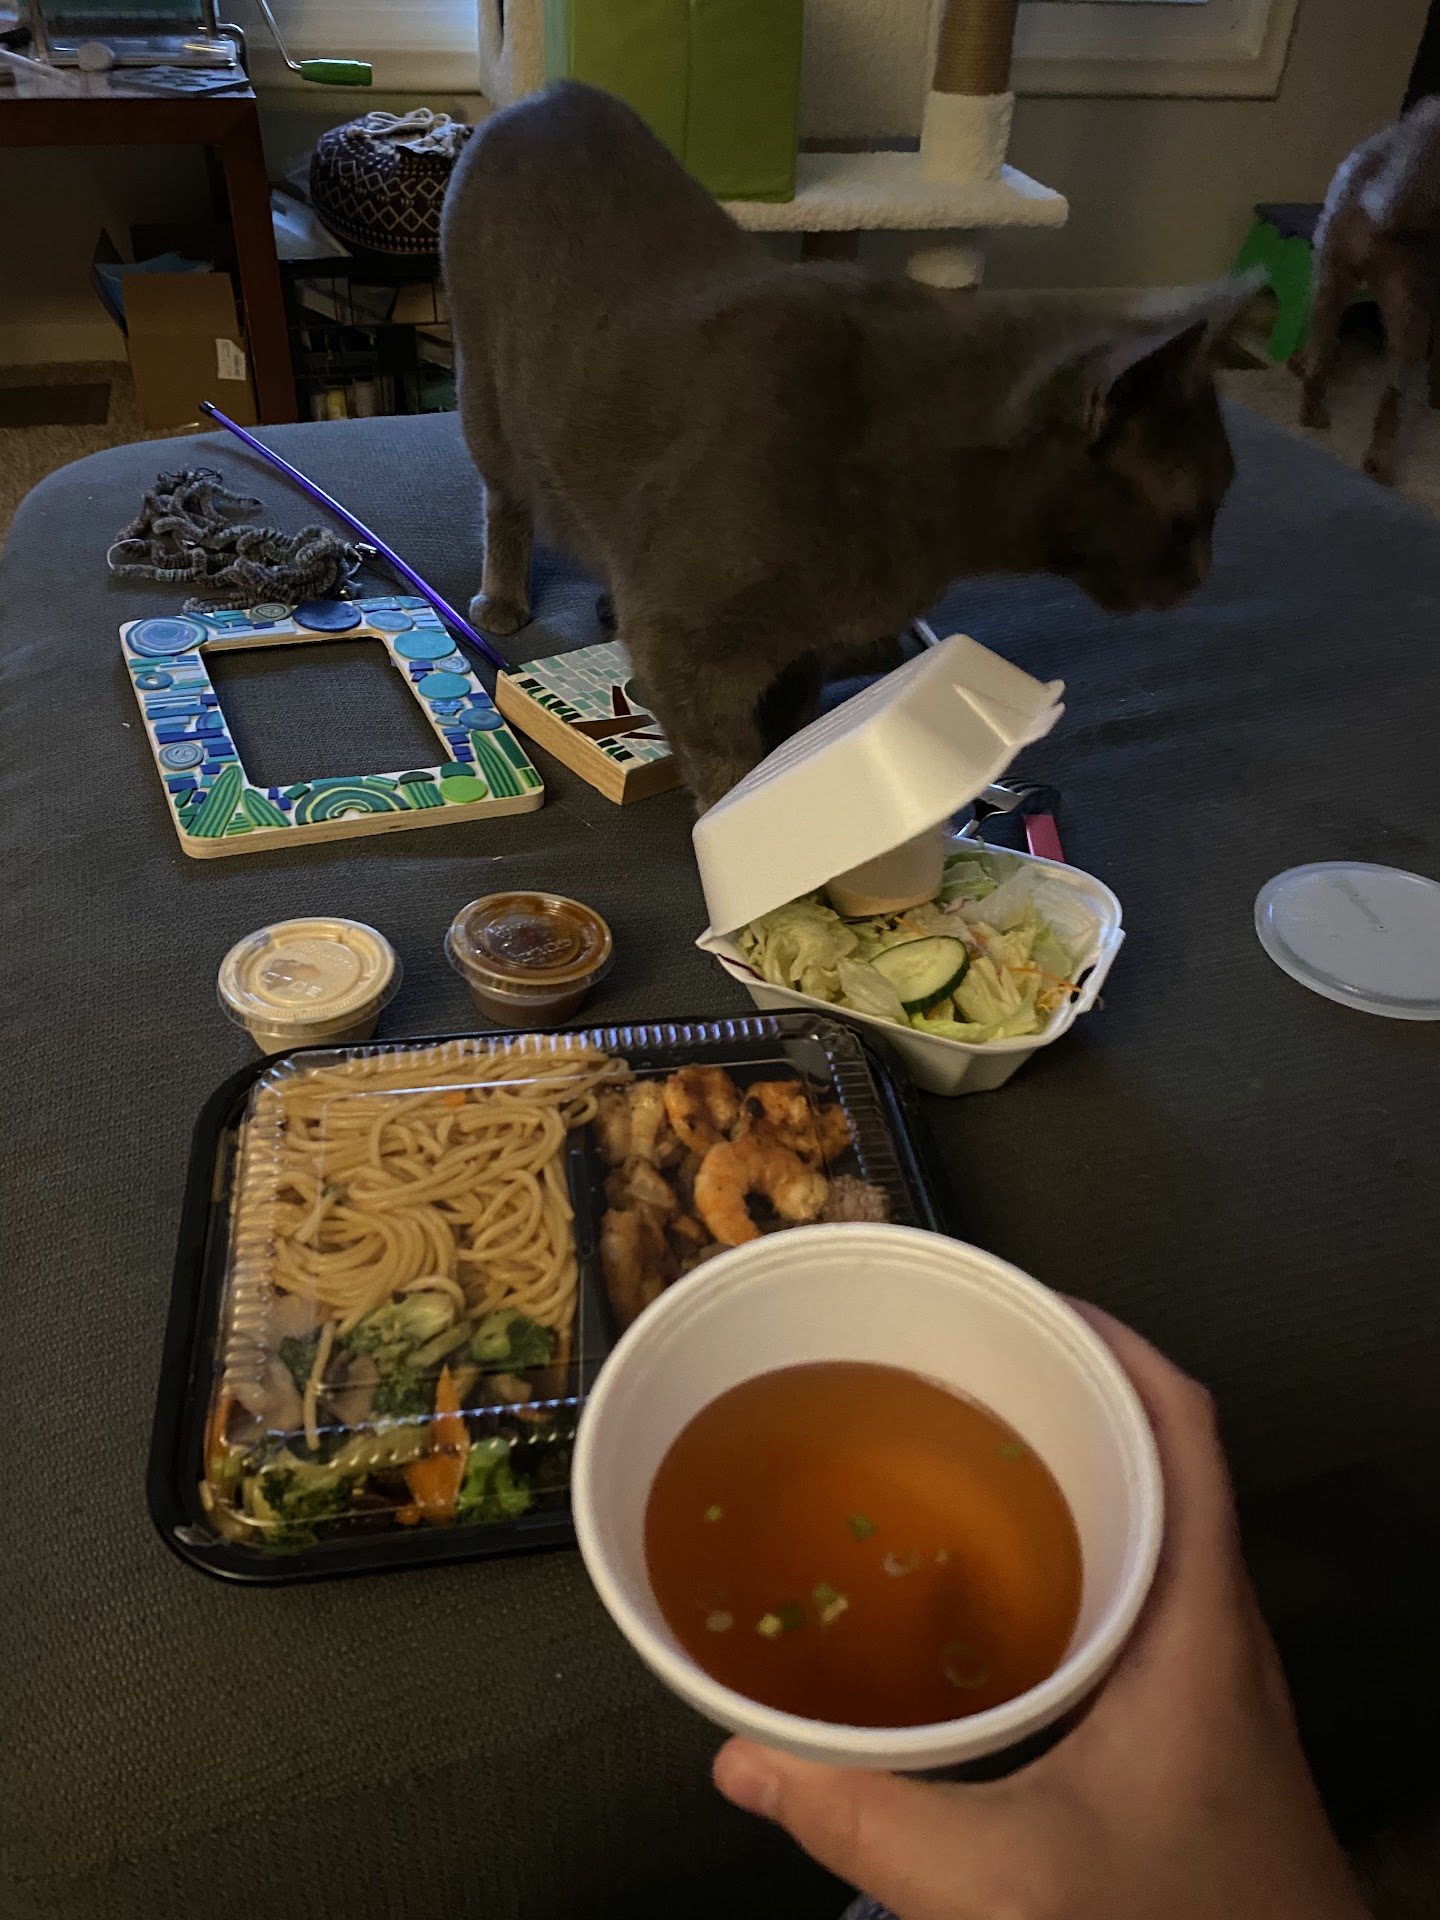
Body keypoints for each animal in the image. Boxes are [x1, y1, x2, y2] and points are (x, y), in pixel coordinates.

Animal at [441, 81, 1249, 810]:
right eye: (1188, 514)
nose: (1205, 577)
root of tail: (554, 93)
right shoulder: (688, 645)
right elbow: (723, 756)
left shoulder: (802, 647)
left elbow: (794, 724)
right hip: (484, 395)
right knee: (503, 498)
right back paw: (502, 600)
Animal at [1296, 96, 1440, 486]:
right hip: (1408, 311)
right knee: (1391, 398)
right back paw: (1379, 464)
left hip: (1327, 278)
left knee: (1320, 354)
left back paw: (1312, 409)